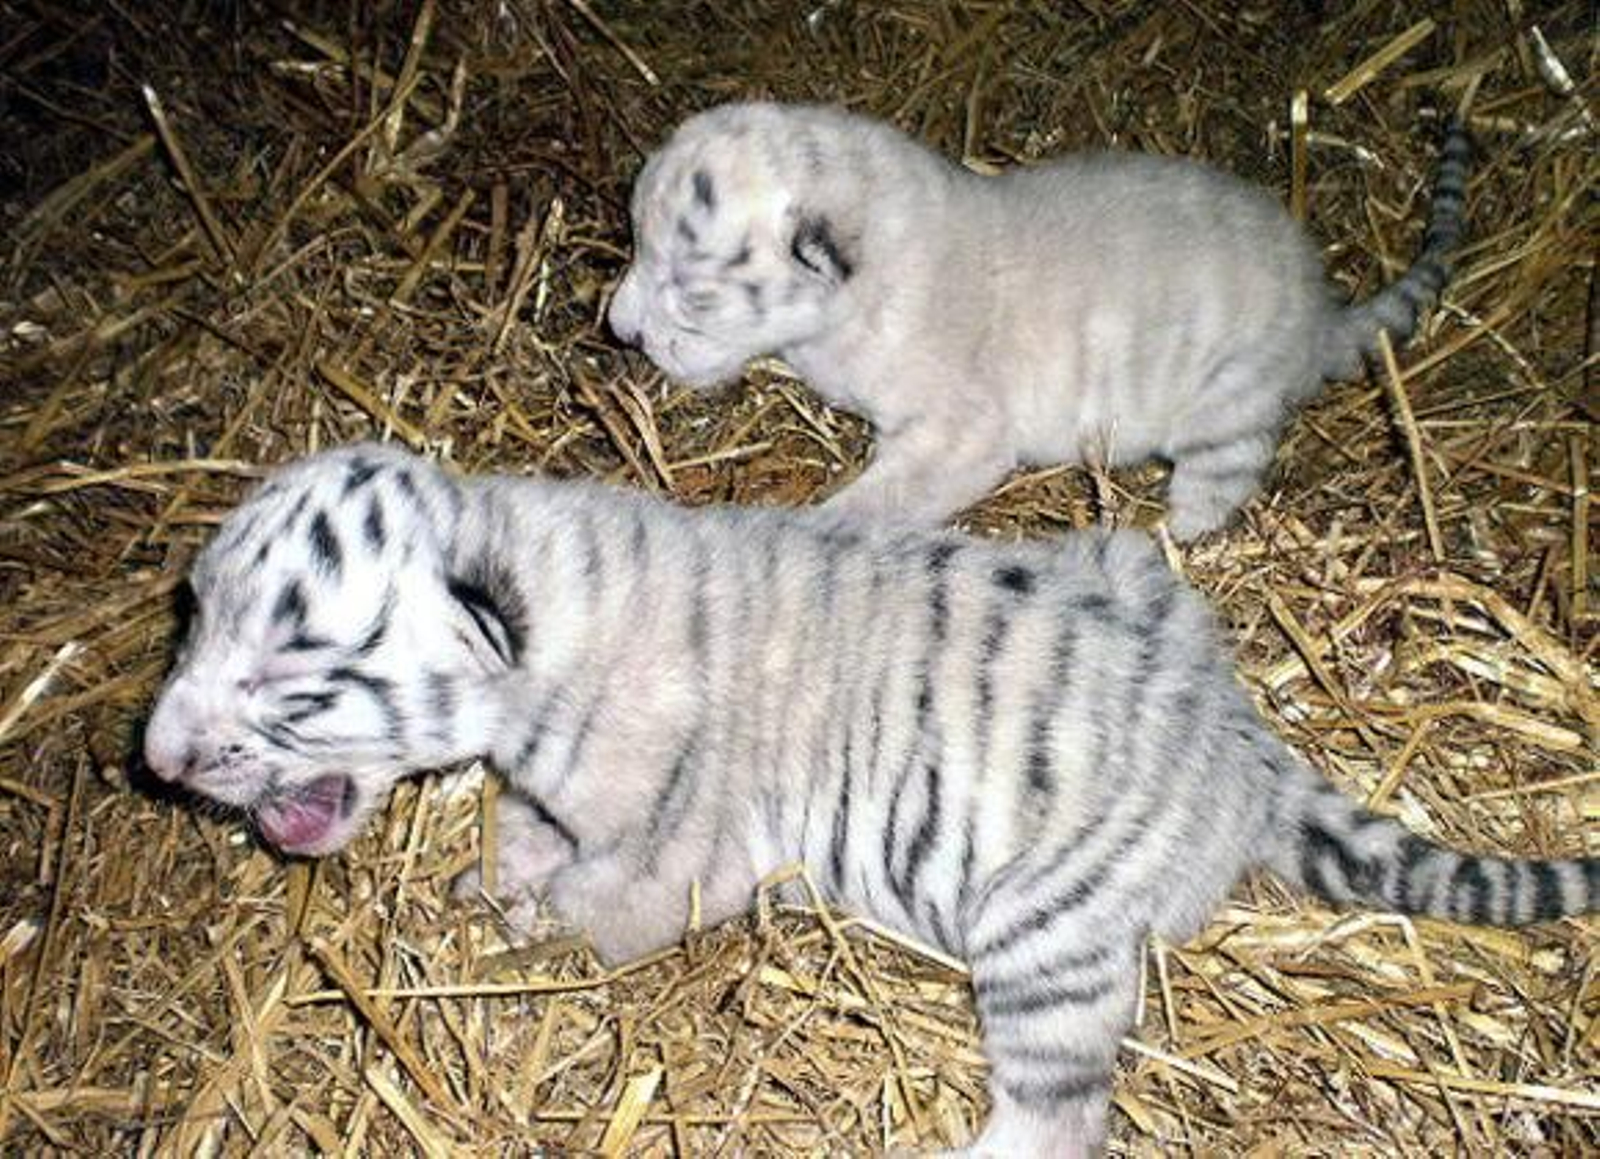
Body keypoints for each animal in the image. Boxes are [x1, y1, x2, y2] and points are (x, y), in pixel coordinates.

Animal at [143, 443, 1594, 1157]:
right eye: (192, 614)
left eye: (288, 675)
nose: (154, 757)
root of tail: (1238, 741)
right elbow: (529, 834)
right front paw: (490, 875)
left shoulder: (682, 849)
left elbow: (594, 910)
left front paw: (507, 933)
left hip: (1047, 931)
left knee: (1059, 1118)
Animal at [607, 101, 1471, 539]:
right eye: (635, 245)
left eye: (689, 285)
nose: (620, 330)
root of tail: (1319, 313)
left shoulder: (962, 435)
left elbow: (885, 496)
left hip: (1227, 407)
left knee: (1225, 476)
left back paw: (1166, 531)